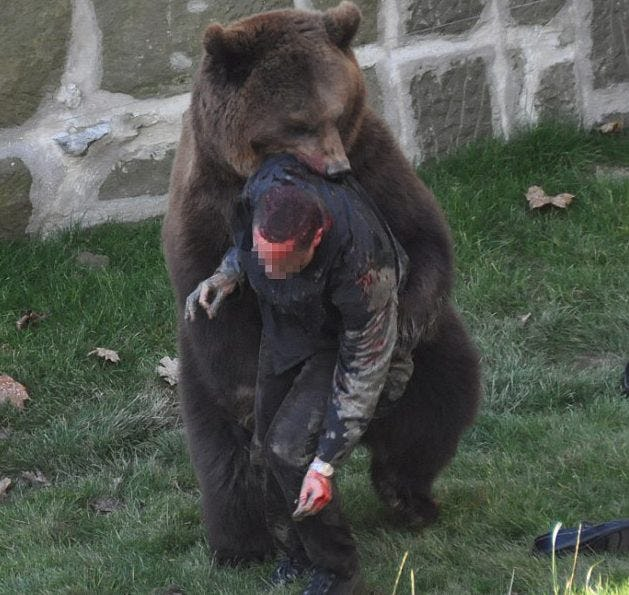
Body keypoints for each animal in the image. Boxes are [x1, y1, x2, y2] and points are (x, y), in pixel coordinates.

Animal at [162, 1, 480, 568]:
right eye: (298, 121)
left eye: (337, 110)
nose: (335, 168)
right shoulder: (206, 203)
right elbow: (216, 305)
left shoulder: (373, 161)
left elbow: (423, 238)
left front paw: (397, 332)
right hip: (198, 380)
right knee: (225, 461)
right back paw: (244, 544)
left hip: (434, 358)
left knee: (441, 397)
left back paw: (406, 494)